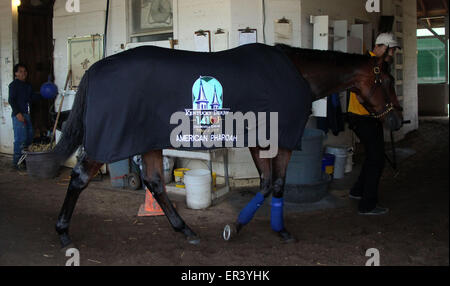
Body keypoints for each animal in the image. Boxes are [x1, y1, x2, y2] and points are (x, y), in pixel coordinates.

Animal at [52, 43, 404, 248]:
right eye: (387, 81)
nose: (398, 119)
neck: (297, 73)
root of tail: (96, 68)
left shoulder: (259, 143)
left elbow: (266, 184)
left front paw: (239, 226)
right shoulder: (279, 142)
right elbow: (276, 184)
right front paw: (275, 230)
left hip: (149, 141)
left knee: (154, 182)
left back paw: (186, 231)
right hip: (107, 144)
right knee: (80, 177)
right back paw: (63, 230)